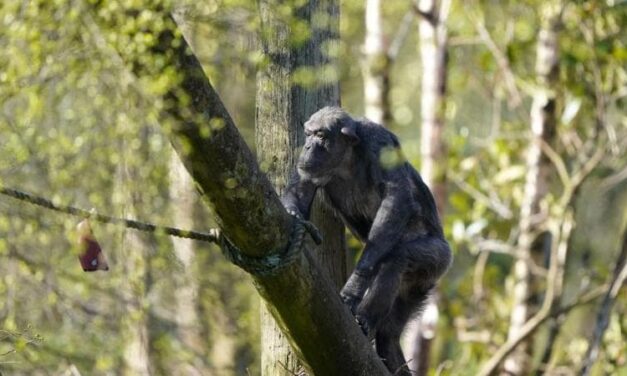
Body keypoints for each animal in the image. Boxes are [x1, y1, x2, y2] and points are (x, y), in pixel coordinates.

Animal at [284, 106, 452, 376]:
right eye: (308, 133)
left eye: (321, 135)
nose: (308, 146)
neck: (347, 158)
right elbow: (303, 185)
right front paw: (293, 215)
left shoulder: (379, 142)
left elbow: (396, 198)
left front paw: (354, 286)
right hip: (418, 288)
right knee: (390, 331)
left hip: (439, 260)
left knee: (398, 258)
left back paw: (364, 319)